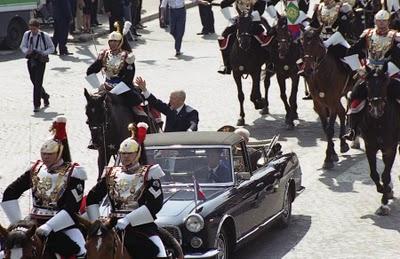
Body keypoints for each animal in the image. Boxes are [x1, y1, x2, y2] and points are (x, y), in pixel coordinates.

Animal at [302, 26, 354, 169]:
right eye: (302, 44)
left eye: (317, 45)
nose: (307, 70)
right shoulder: (319, 104)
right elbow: (326, 129)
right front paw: (332, 154)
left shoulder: (331, 103)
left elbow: (330, 130)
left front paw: (328, 159)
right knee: (342, 112)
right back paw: (343, 144)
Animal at [358, 66, 398, 215]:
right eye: (367, 84)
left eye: (385, 82)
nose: (376, 109)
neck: (379, 123)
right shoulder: (370, 147)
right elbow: (374, 174)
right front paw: (383, 190)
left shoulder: (390, 148)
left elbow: (385, 175)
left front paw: (384, 203)